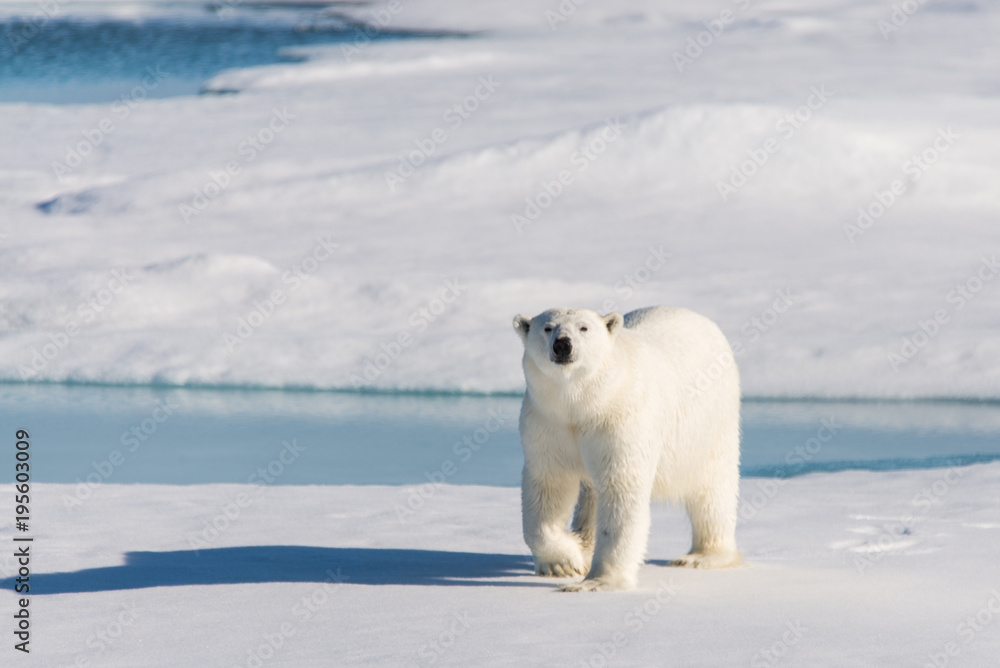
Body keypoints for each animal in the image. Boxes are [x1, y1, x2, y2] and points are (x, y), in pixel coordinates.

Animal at [513, 305, 741, 592]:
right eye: (547, 327)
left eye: (583, 328)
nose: (563, 345)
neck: (584, 403)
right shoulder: (548, 423)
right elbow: (548, 487)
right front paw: (563, 563)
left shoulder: (619, 420)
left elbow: (620, 489)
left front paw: (597, 581)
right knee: (590, 495)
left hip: (711, 423)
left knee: (712, 488)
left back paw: (701, 557)